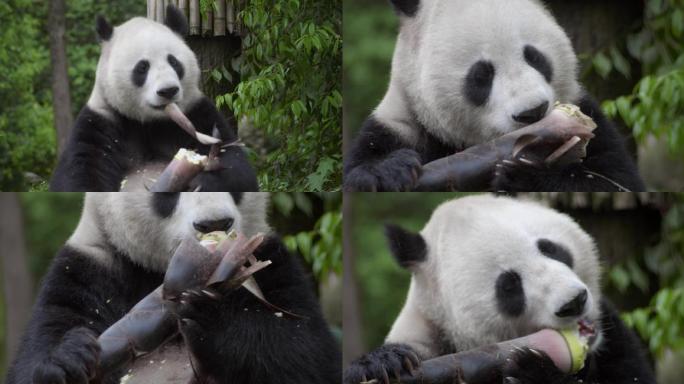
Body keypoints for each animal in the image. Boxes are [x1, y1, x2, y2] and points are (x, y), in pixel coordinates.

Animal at [5, 194, 342, 382]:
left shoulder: (271, 261)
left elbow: (308, 356)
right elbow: (32, 359)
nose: (215, 224)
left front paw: (217, 321)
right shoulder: (86, 267)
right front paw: (67, 358)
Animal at [48, 5, 256, 191]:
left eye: (174, 62)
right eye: (142, 67)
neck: (150, 122)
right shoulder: (102, 120)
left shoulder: (197, 114)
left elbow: (236, 165)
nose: (168, 90)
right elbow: (79, 173)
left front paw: (201, 183)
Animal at [344, 0, 644, 192]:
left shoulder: (590, 119)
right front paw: (388, 172)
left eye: (535, 57)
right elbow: (361, 170)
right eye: (482, 75)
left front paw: (524, 178)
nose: (533, 112)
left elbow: (616, 180)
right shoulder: (403, 123)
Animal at [344, 195, 656, 384]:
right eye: (509, 286)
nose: (574, 303)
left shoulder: (613, 336)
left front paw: (534, 372)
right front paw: (383, 362)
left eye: (550, 248)